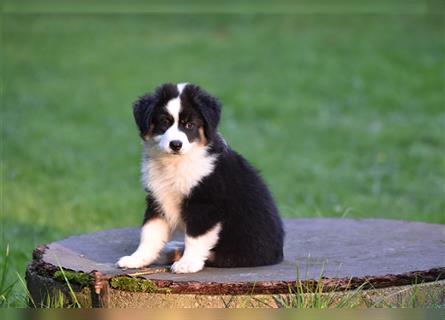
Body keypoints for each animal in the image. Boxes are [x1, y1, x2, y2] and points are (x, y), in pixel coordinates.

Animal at [117, 82, 284, 272]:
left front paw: (188, 263)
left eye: (189, 125)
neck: (177, 163)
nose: (175, 145)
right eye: (164, 122)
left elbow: (195, 237)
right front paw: (137, 259)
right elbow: (149, 232)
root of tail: (278, 254)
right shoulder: (157, 198)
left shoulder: (205, 203)